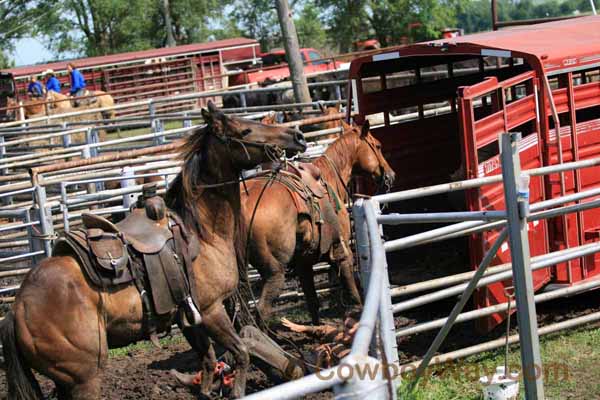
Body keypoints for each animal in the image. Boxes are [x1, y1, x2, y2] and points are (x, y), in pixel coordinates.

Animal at [0, 101, 308, 398]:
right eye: (245, 130)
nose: (298, 136)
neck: (202, 232)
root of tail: (17, 310)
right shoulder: (211, 310)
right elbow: (241, 352)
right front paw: (237, 391)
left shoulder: (189, 319)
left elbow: (208, 359)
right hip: (83, 379)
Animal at [241, 120, 396, 324]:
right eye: (377, 145)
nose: (391, 175)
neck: (329, 176)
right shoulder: (341, 252)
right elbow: (354, 293)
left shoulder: (303, 263)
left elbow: (312, 302)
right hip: (274, 271)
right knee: (262, 310)